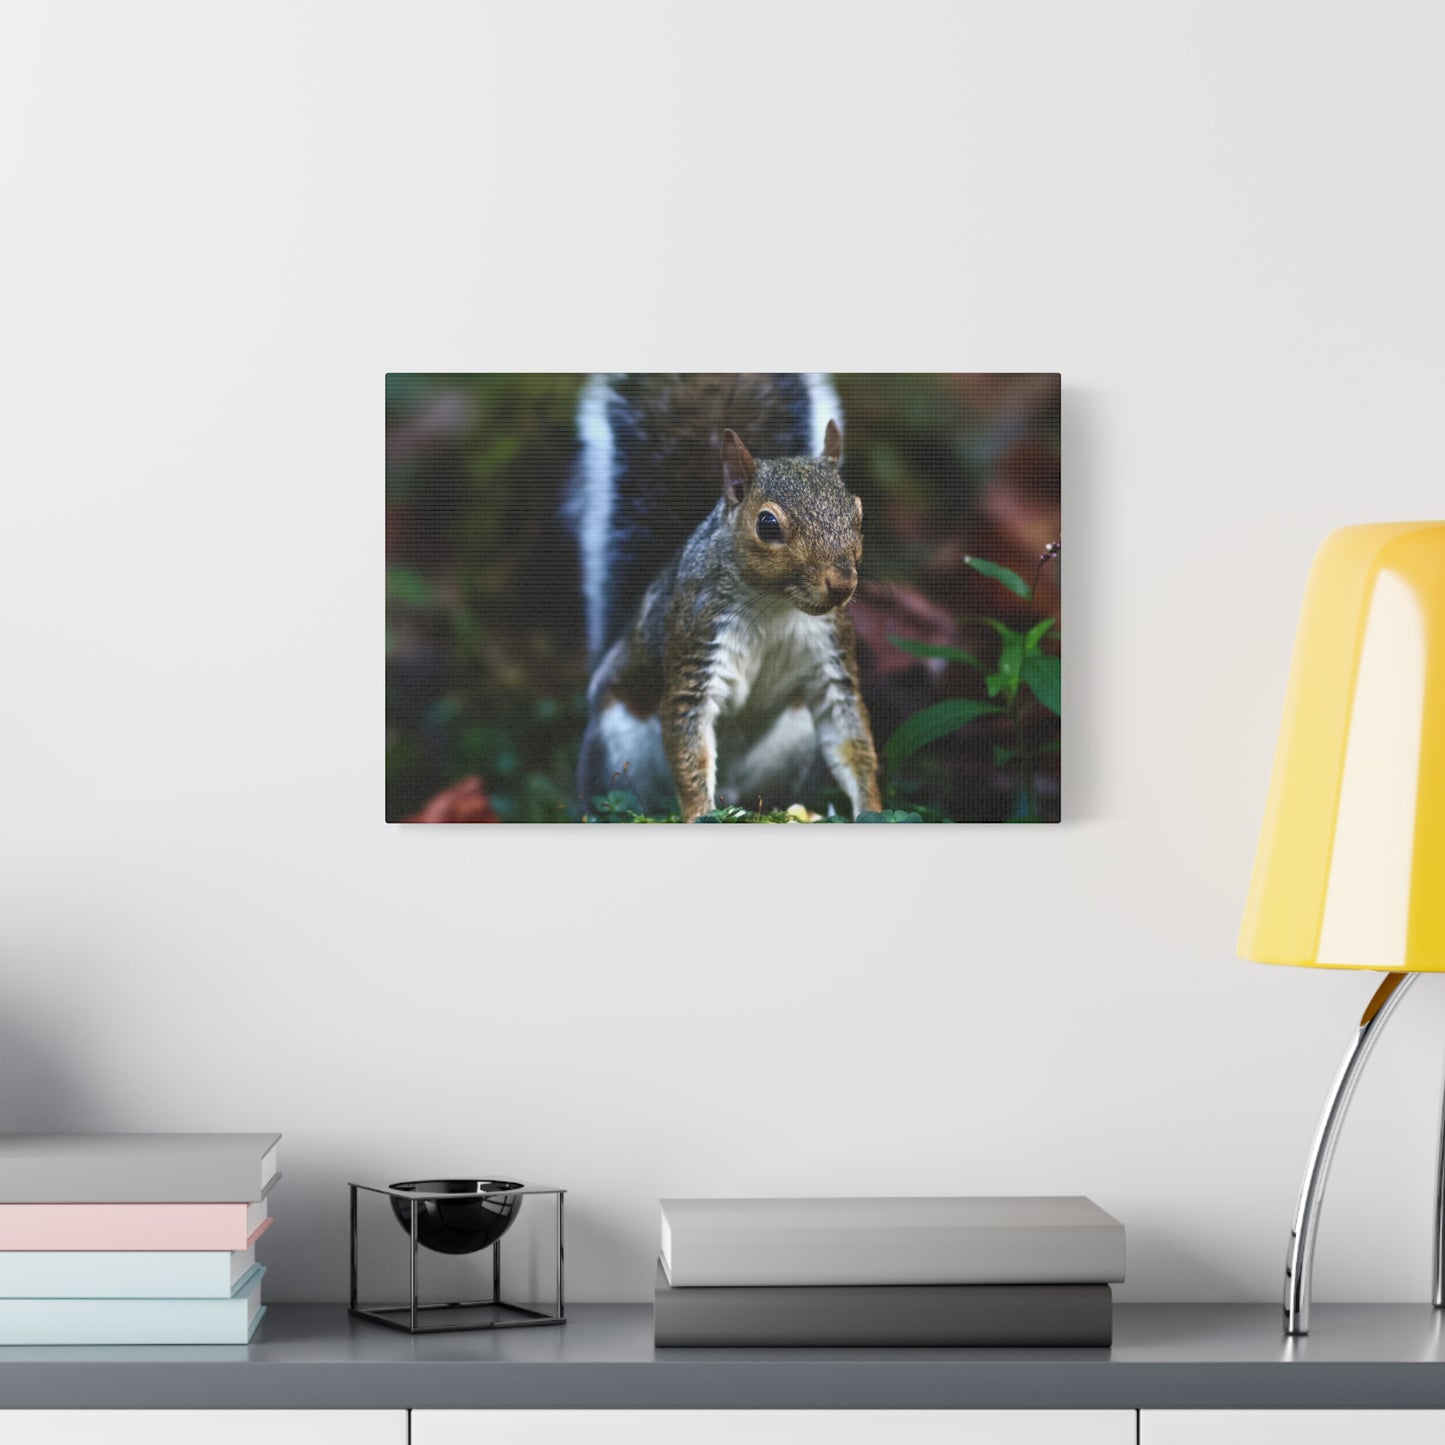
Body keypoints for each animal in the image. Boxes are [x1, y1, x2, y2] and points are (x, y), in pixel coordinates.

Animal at [569, 373, 882, 822]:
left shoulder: (831, 657)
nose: (841, 584)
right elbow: (689, 744)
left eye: (857, 512)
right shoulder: (697, 640)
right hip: (616, 742)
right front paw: (700, 812)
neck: (775, 606)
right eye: (767, 524)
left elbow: (852, 741)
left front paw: (872, 808)